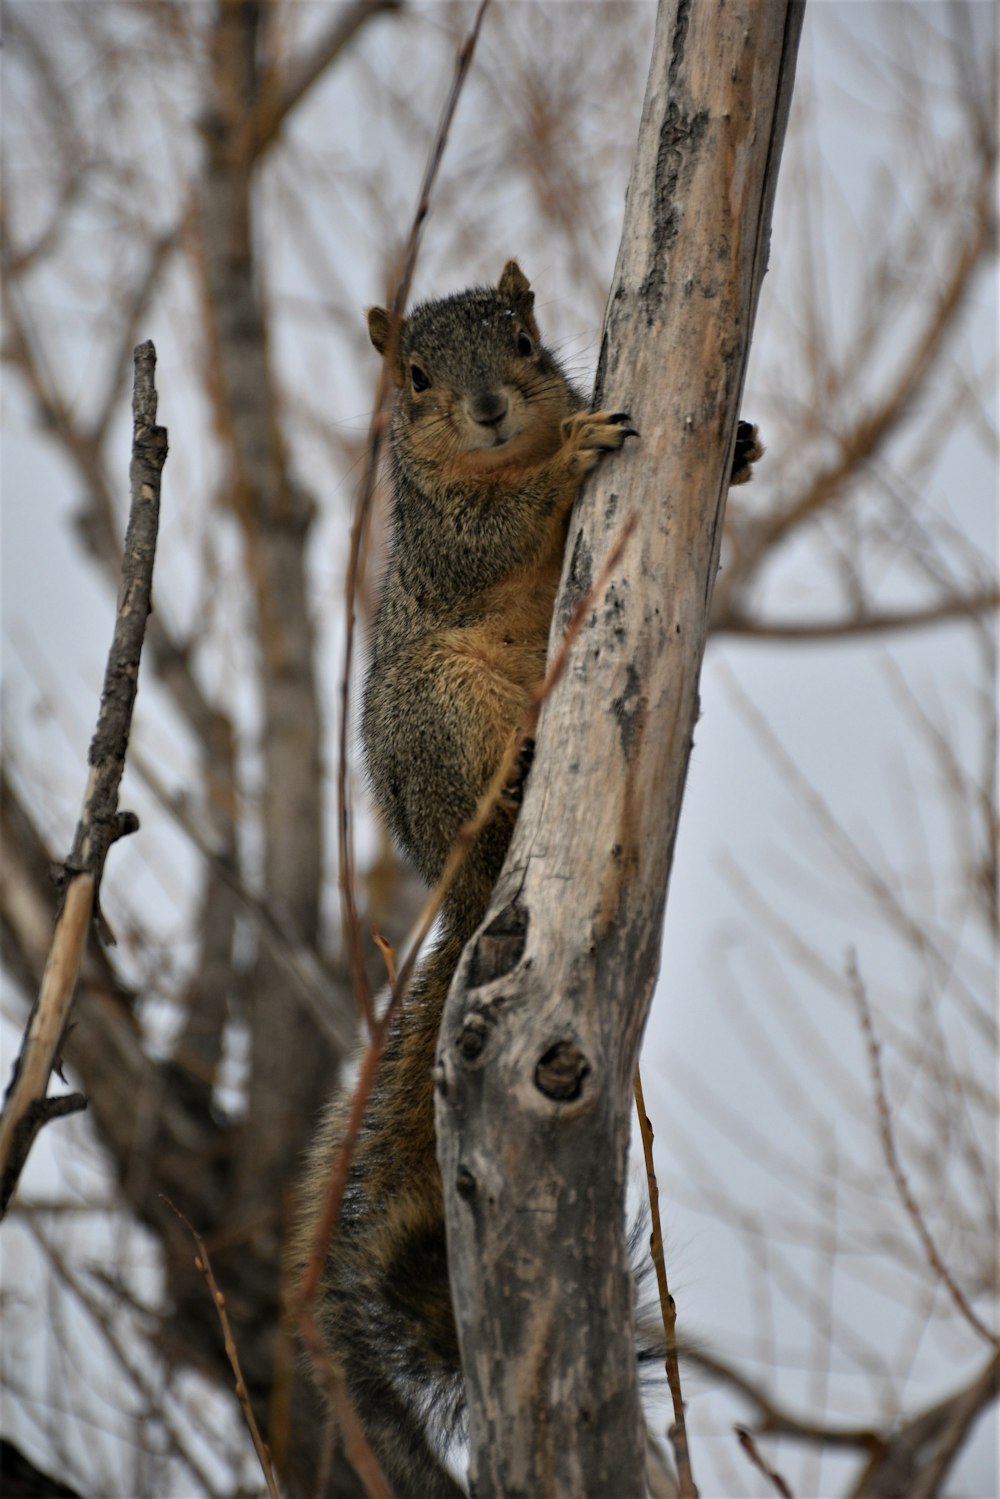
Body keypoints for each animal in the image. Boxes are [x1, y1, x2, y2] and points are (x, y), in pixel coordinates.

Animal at [293, 263, 761, 1493]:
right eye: (412, 377)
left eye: (522, 335)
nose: (493, 409)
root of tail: (460, 900)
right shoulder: (436, 531)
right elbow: (490, 530)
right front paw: (569, 458)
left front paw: (741, 445)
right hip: (443, 712)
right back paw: (511, 786)